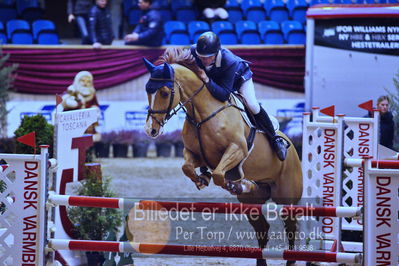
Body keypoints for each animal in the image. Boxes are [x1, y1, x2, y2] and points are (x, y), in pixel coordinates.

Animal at [142, 48, 302, 266]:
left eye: (165, 93)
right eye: (147, 90)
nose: (151, 130)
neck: (202, 114)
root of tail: (292, 149)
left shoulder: (237, 149)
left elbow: (220, 174)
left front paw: (234, 183)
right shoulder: (194, 153)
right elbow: (188, 167)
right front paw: (202, 179)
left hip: (287, 197)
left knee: (291, 228)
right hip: (251, 203)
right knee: (262, 229)